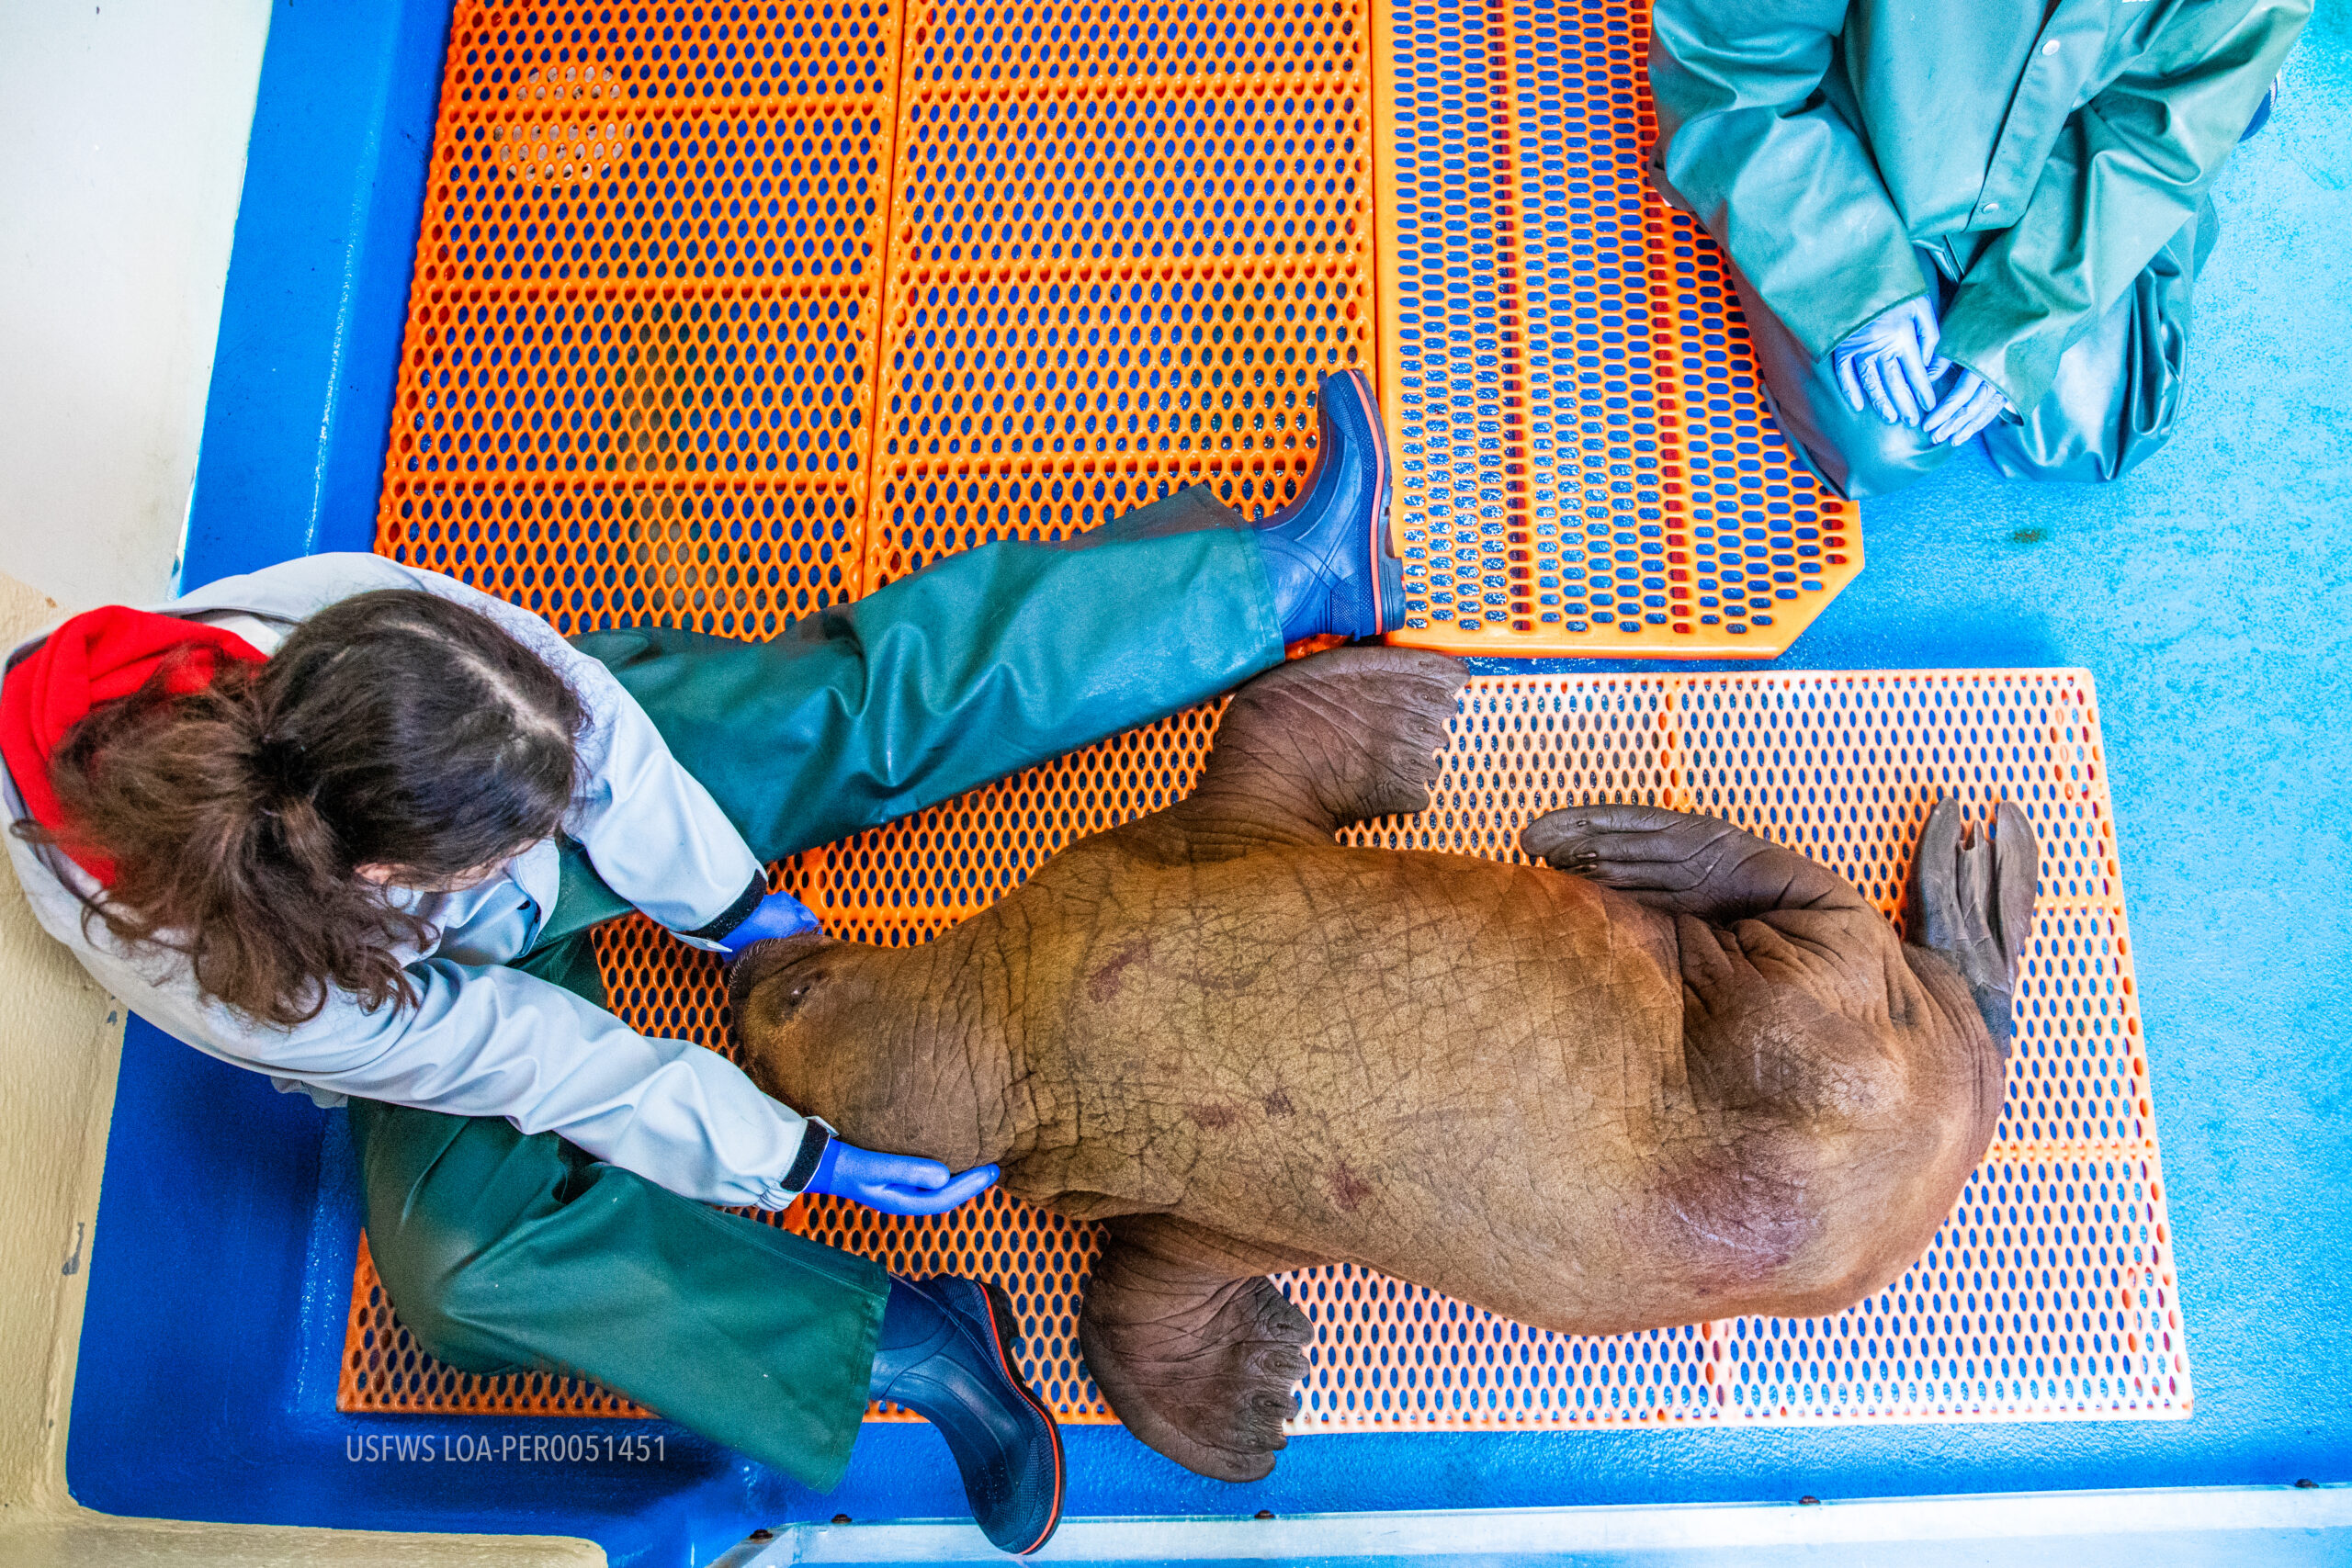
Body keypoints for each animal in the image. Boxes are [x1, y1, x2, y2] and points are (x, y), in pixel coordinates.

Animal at [733, 649, 2041, 1485]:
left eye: (799, 997)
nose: (747, 976)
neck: (1015, 1014)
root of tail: (1969, 1075)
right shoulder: (1183, 1207)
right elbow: (1134, 1316)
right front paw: (1251, 1405)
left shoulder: (1168, 853)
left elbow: (1265, 728)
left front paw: (1408, 674)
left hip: (1816, 1008)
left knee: (1828, 913)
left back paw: (1637, 845)